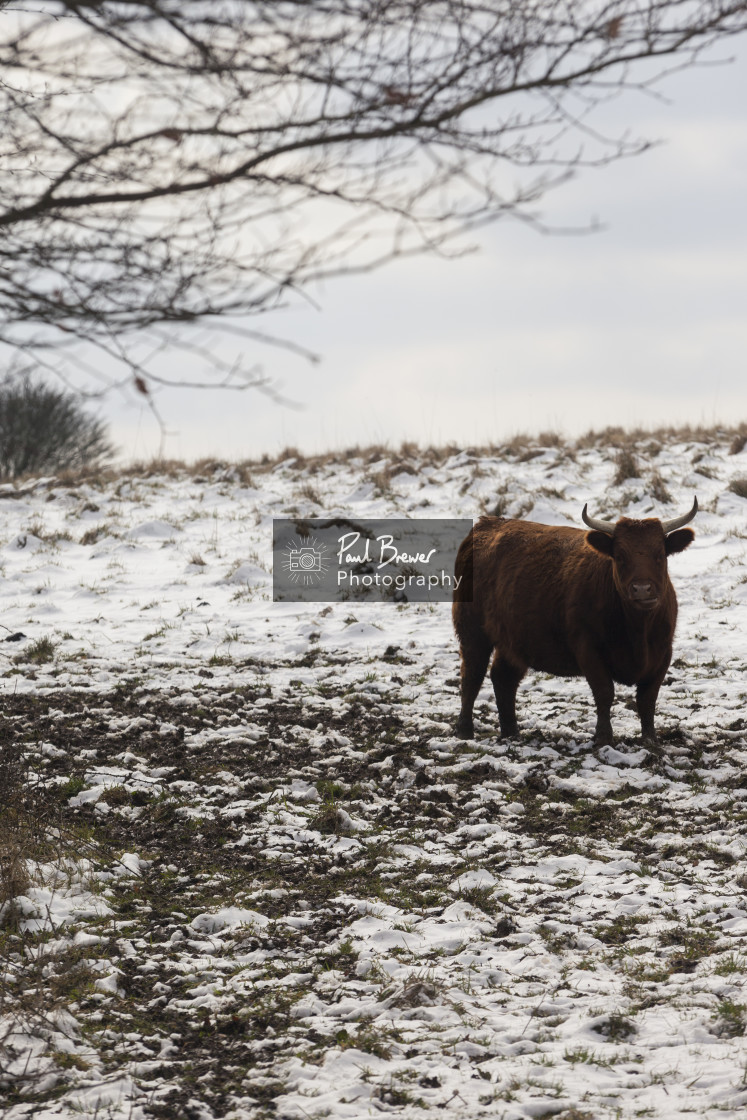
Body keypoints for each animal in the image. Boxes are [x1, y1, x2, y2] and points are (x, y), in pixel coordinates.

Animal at [452, 501, 698, 748]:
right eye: (620, 556)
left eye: (660, 554)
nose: (642, 589)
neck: (638, 632)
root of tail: (487, 523)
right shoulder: (588, 650)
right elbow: (604, 692)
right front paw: (603, 737)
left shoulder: (663, 654)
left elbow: (647, 699)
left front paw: (650, 739)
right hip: (472, 631)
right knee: (472, 676)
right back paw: (465, 730)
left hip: (513, 640)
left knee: (503, 677)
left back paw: (511, 732)